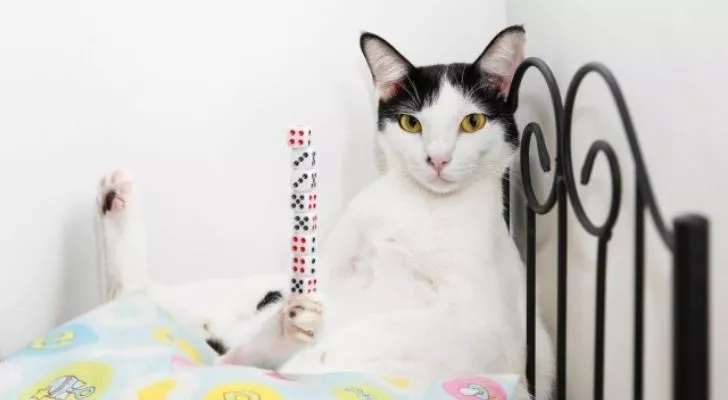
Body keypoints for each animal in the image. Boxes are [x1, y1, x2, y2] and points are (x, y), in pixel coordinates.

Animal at [95, 25, 552, 400]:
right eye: (411, 123)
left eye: (472, 122)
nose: (437, 159)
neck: (420, 205)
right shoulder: (330, 266)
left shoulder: (479, 322)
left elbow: (380, 332)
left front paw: (315, 351)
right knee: (136, 294)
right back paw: (117, 200)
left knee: (220, 354)